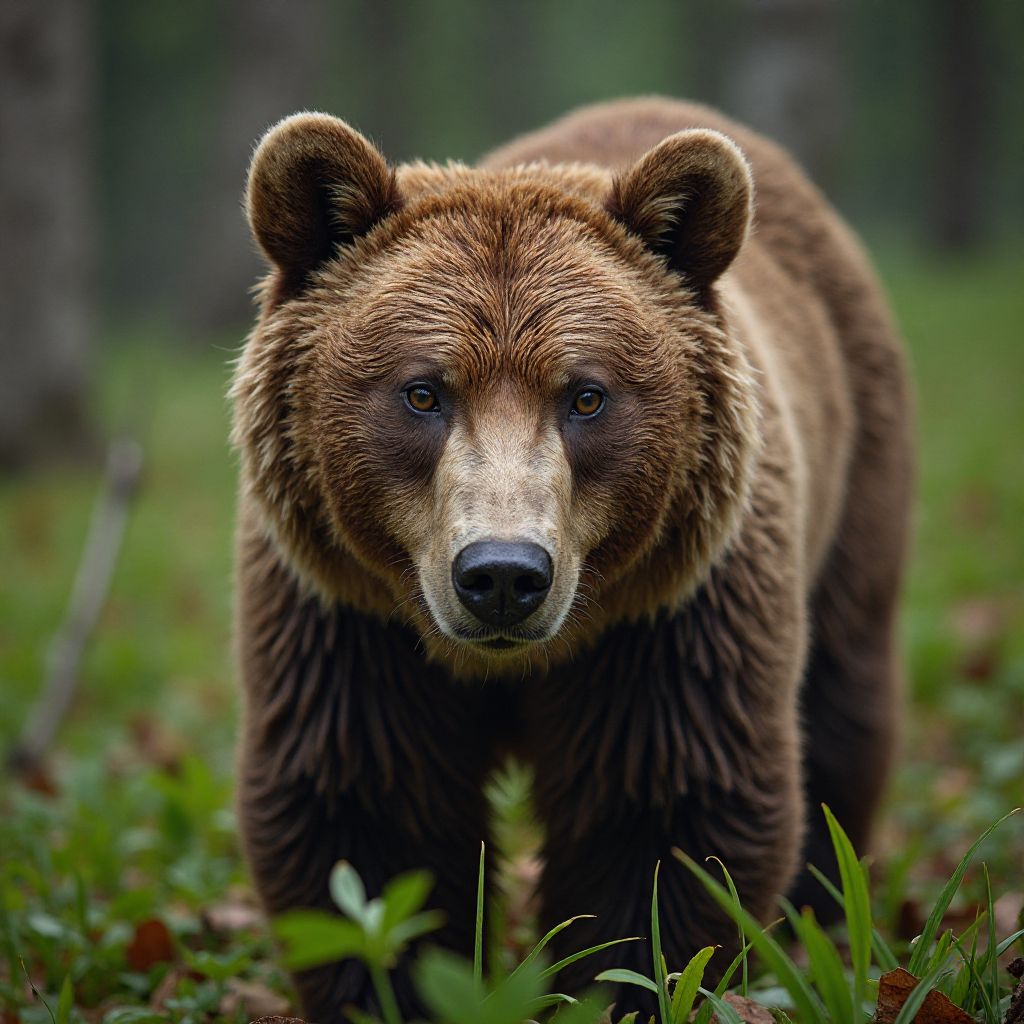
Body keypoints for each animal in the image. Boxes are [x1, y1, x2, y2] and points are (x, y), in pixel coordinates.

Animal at [231, 96, 912, 1020]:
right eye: (423, 391)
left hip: (857, 484)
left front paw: (626, 980)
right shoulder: (350, 622)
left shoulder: (670, 623)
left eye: (586, 395)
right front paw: (392, 983)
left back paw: (822, 916)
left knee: (842, 705)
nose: (502, 576)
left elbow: (662, 815)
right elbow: (368, 810)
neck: (507, 665)